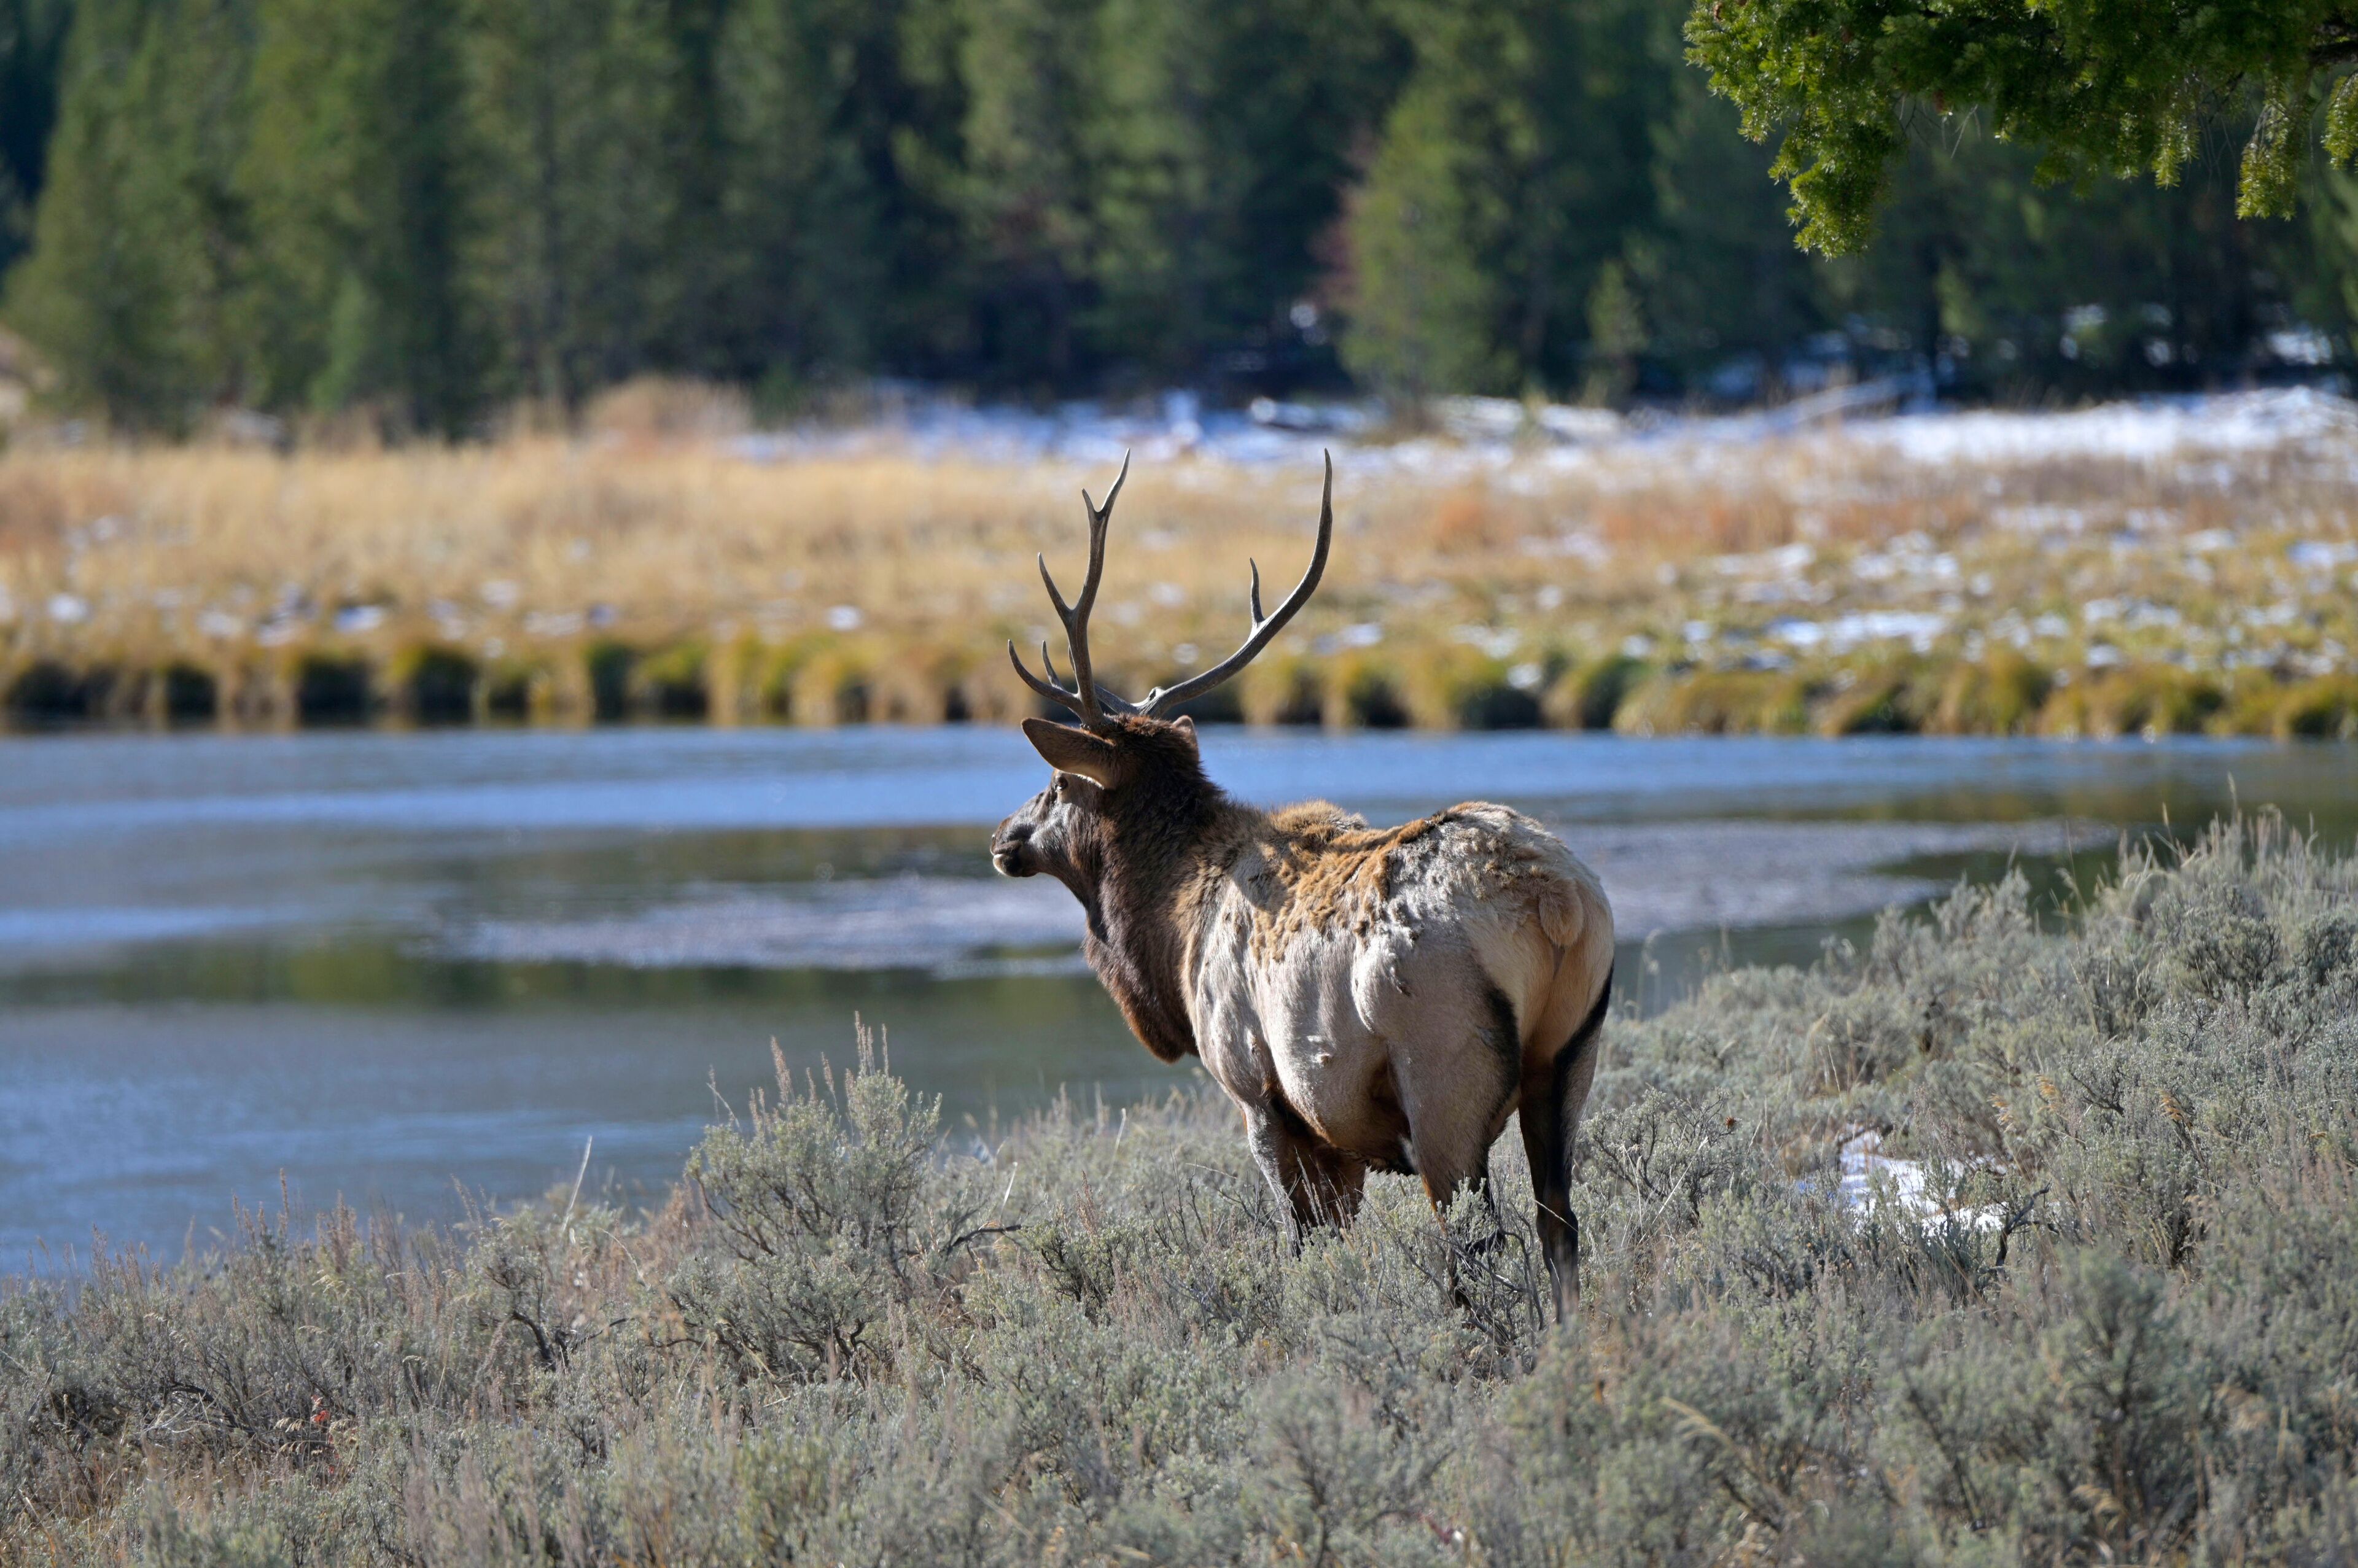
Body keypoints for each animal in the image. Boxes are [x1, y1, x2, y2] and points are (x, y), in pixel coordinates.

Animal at [989, 454, 1615, 1318]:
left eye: (1057, 782)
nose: (1003, 839)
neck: (1171, 931)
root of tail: (1558, 908)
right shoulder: (1335, 1130)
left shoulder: (1260, 1091)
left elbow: (1300, 1245)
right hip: (1570, 1056)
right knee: (1561, 1226)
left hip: (1445, 1072)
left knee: (1477, 1243)